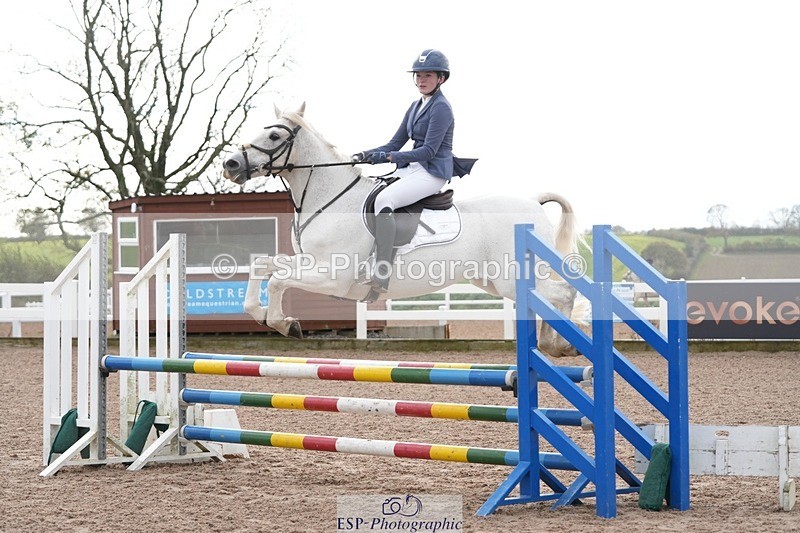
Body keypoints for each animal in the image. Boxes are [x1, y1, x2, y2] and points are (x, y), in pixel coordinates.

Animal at [222, 103, 581, 357]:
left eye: (274, 137)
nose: (231, 164)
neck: (330, 197)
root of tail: (533, 202)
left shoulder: (332, 276)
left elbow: (278, 280)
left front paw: (284, 324)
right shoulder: (311, 263)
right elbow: (262, 265)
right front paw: (261, 313)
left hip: (511, 277)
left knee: (562, 294)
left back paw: (559, 345)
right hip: (492, 280)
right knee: (547, 299)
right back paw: (553, 344)